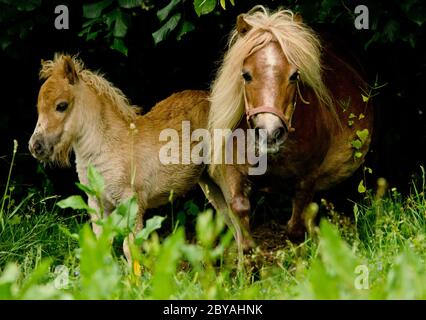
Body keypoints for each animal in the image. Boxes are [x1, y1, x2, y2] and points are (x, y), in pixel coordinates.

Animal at [28, 54, 211, 264]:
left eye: (61, 106)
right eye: (39, 108)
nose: (35, 146)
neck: (107, 147)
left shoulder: (132, 204)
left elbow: (130, 248)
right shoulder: (97, 204)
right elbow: (102, 246)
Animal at [206, 6, 372, 249]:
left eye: (294, 75)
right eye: (246, 75)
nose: (270, 133)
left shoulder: (308, 178)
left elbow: (295, 228)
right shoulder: (233, 169)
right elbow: (239, 210)